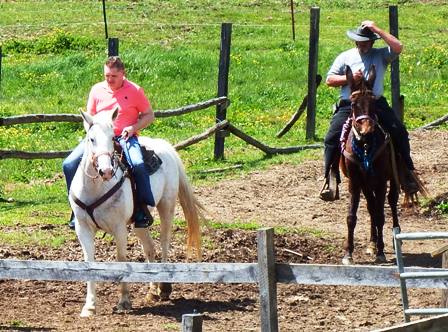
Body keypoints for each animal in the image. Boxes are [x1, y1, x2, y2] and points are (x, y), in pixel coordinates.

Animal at [69, 109, 202, 316]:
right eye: (91, 139)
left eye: (112, 137)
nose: (106, 171)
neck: (95, 188)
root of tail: (165, 146)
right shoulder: (83, 229)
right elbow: (89, 261)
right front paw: (89, 306)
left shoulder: (119, 228)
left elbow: (121, 259)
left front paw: (124, 300)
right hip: (140, 222)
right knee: (150, 248)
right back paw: (152, 290)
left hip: (167, 206)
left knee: (164, 242)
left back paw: (164, 287)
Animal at [340, 66, 400, 266]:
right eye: (353, 104)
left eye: (374, 103)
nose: (366, 130)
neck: (366, 145)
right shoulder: (355, 183)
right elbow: (352, 217)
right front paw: (348, 253)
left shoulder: (381, 182)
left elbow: (381, 215)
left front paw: (381, 252)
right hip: (367, 185)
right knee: (371, 207)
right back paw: (372, 243)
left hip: (392, 179)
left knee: (391, 202)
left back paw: (395, 236)